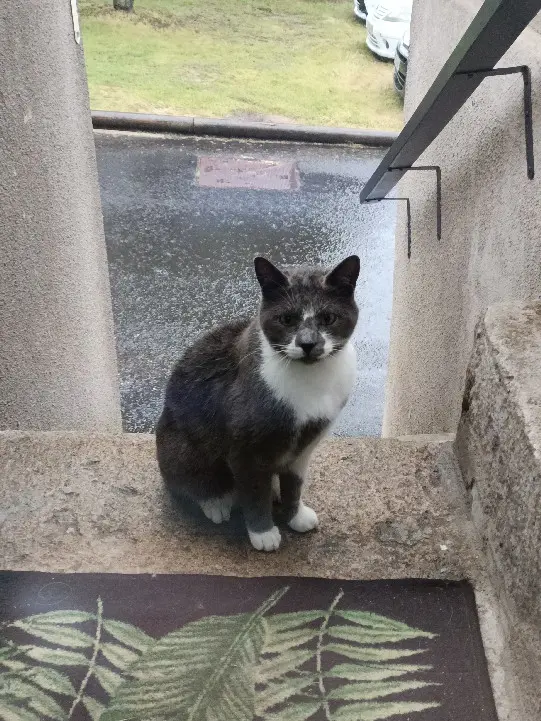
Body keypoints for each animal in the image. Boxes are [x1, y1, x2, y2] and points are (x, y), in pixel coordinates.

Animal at [156, 255, 358, 552]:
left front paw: (295, 515)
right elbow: (253, 492)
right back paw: (217, 503)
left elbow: (294, 485)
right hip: (180, 446)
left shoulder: (304, 449)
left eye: (328, 318)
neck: (310, 384)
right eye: (287, 319)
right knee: (187, 480)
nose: (308, 343)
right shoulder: (245, 450)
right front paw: (263, 533)